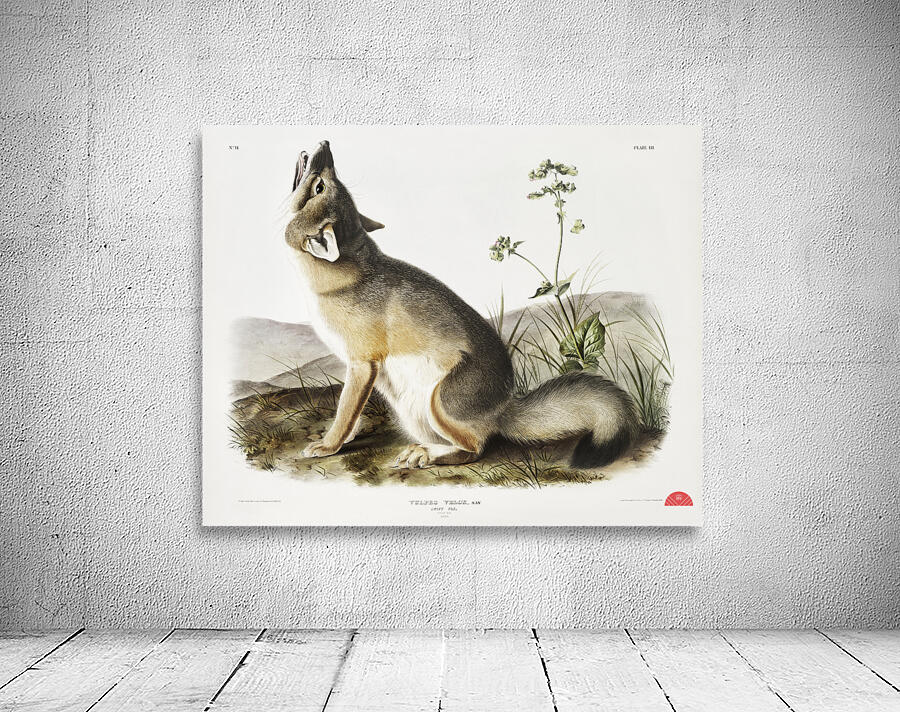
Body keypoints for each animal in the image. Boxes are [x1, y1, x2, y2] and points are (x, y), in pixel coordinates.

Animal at [285, 140, 639, 469]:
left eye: (321, 186)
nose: (326, 144)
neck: (350, 272)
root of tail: (503, 409)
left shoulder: (361, 365)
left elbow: (345, 411)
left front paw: (328, 445)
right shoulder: (362, 370)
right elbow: (352, 415)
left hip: (439, 403)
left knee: (475, 448)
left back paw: (425, 454)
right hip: (412, 411)